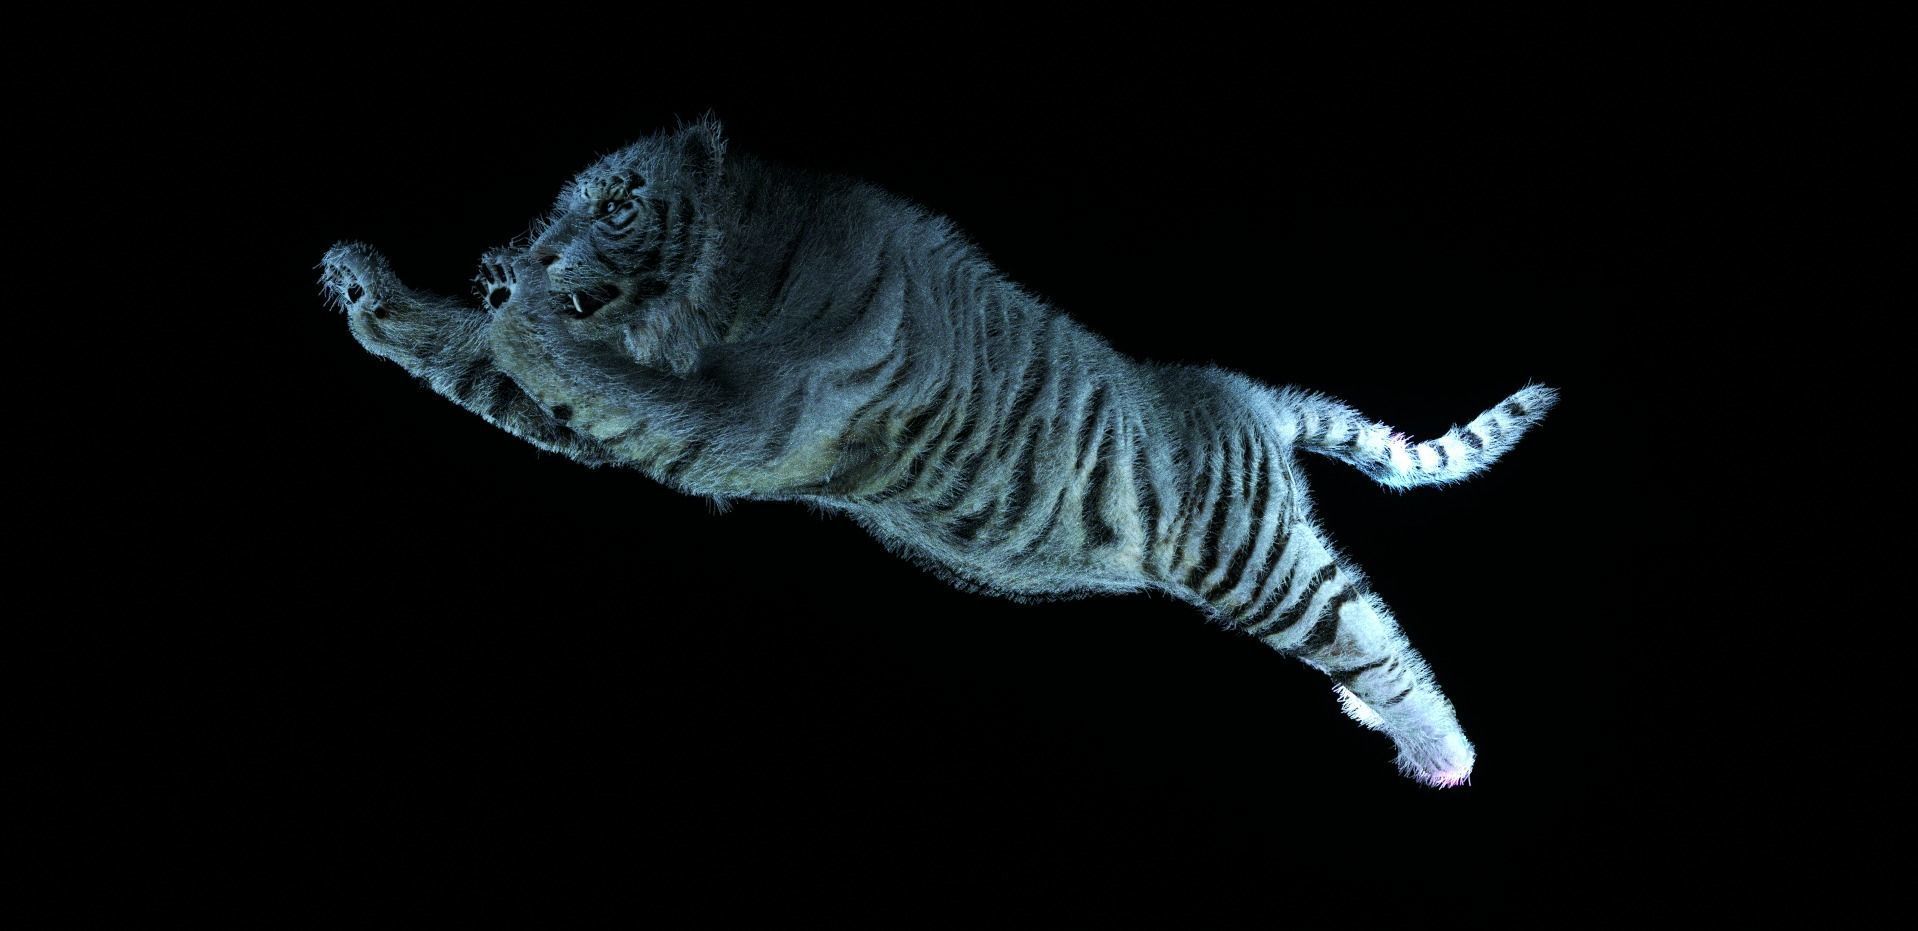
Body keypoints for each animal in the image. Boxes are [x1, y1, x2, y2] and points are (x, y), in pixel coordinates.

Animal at [319, 115, 1557, 787]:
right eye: (553, 206)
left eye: (619, 201)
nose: (520, 250)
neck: (735, 266)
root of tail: (1243, 393)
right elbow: (492, 373)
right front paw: (365, 284)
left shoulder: (732, 424)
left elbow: (570, 369)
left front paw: (508, 302)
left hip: (1243, 551)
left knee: (1372, 634)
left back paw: (1440, 754)